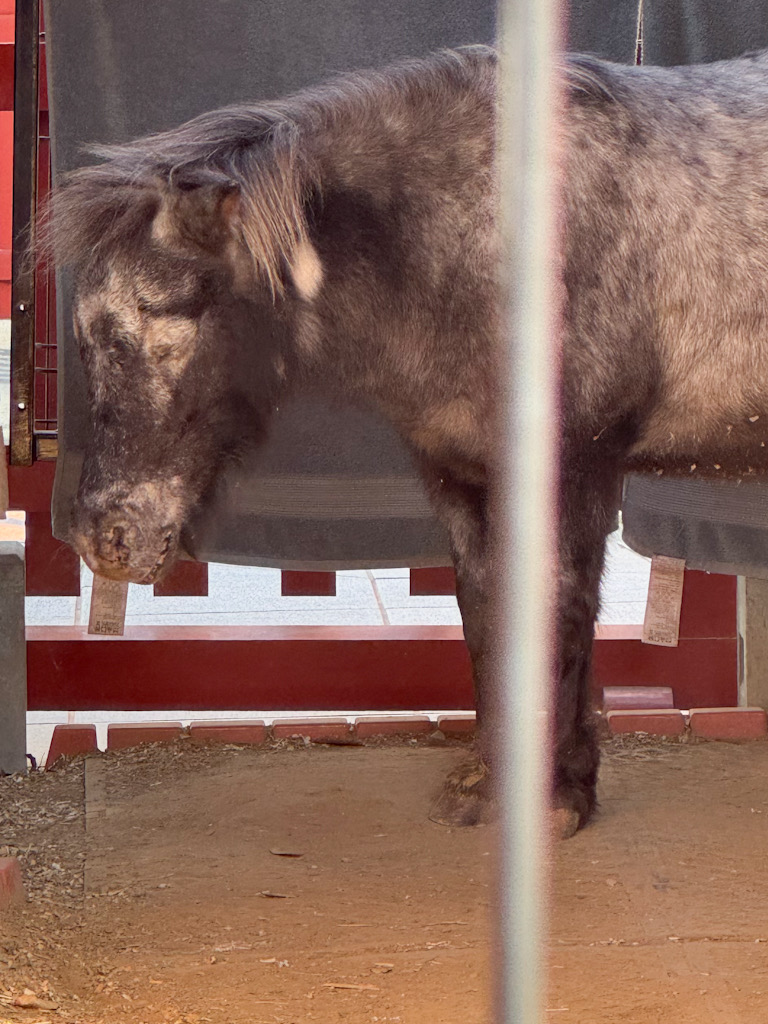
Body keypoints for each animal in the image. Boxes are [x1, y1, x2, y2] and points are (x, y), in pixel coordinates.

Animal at [47, 43, 768, 837]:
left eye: (164, 322)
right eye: (83, 338)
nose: (105, 538)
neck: (478, 239)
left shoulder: (571, 472)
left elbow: (558, 615)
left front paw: (550, 804)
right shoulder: (461, 478)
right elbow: (486, 618)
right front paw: (496, 784)